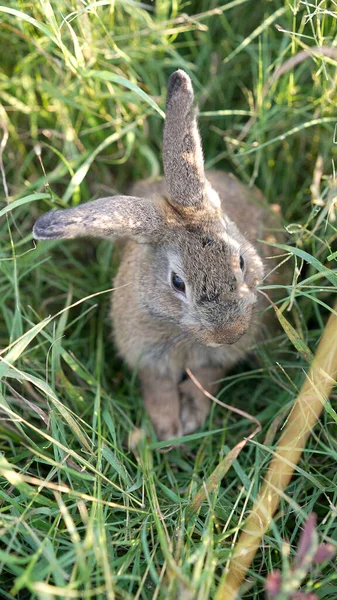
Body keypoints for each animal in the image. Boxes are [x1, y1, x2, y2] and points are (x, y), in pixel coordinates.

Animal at [33, 70, 284, 440]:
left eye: (240, 261)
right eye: (177, 283)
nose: (229, 334)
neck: (182, 331)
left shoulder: (216, 360)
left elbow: (206, 378)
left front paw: (191, 414)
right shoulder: (146, 355)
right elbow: (158, 386)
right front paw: (168, 427)